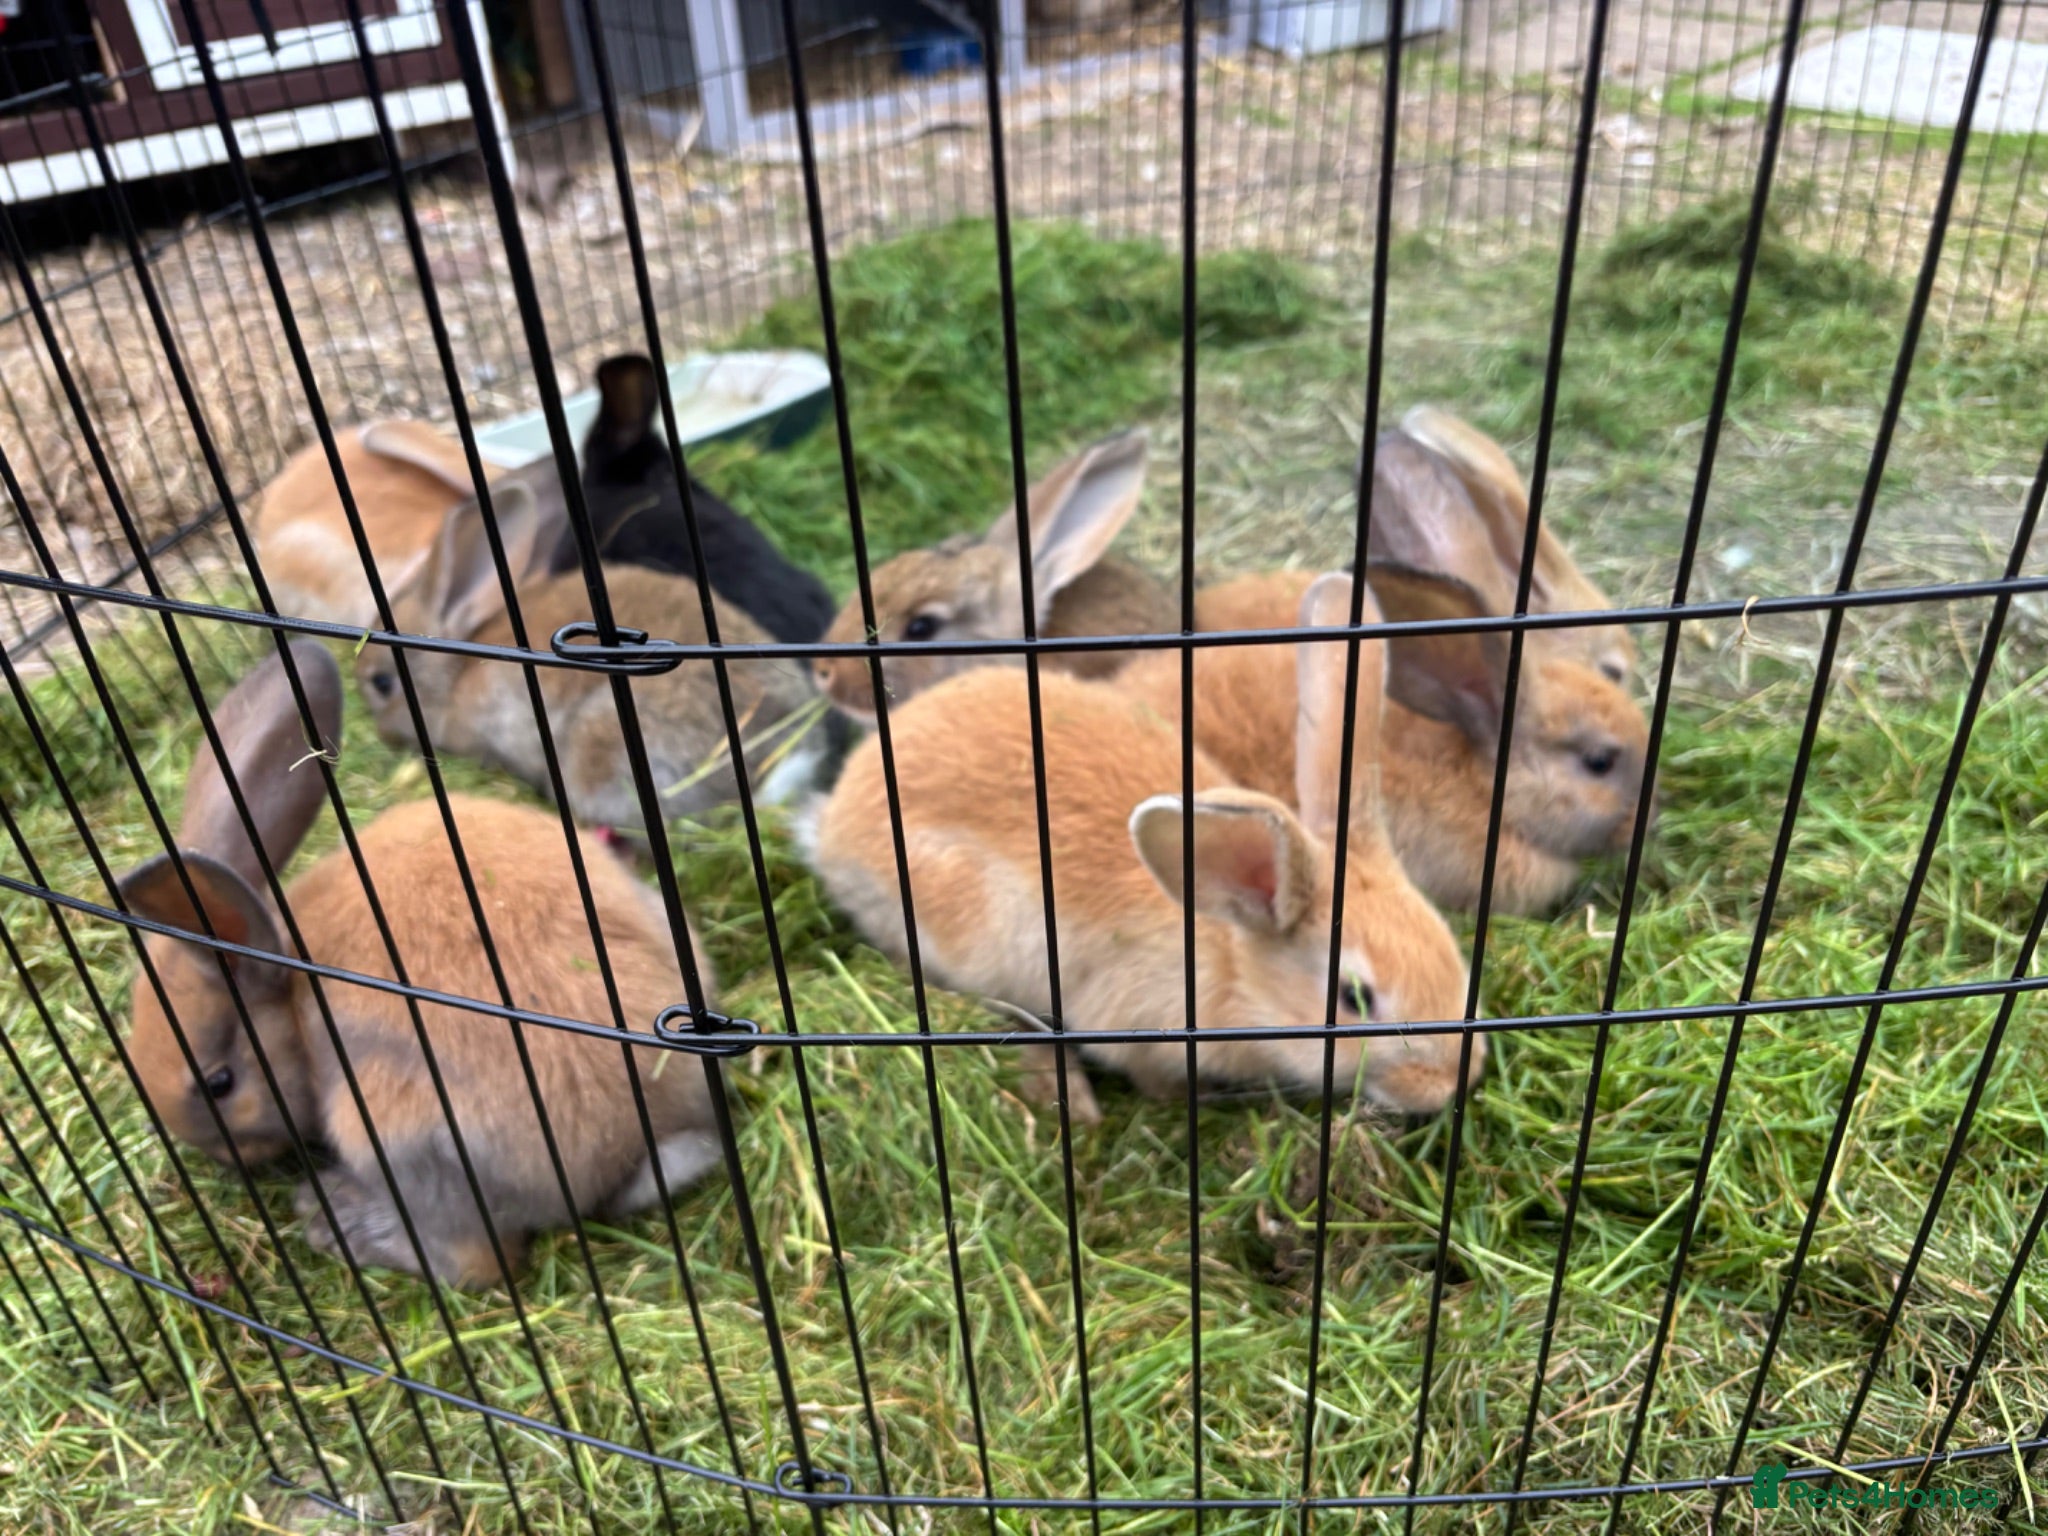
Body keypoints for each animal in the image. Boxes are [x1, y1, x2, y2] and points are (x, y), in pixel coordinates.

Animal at [117, 639, 723, 1288]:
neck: (291, 975)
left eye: (219, 1083)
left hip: (395, 1129)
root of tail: (640, 1145)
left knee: (480, 1261)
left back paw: (342, 1221)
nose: (215, 1155)